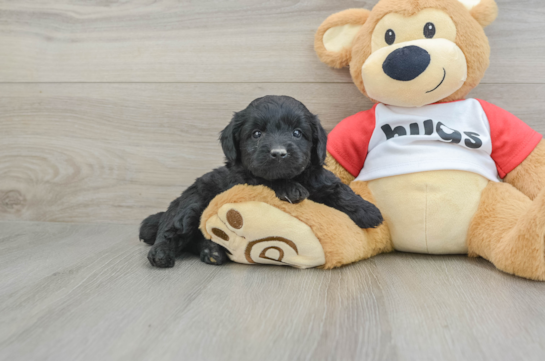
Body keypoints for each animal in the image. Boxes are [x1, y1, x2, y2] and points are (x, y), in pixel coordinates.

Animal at [138, 95, 380, 268]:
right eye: (256, 134)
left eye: (297, 133)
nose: (279, 153)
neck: (295, 176)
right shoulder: (243, 179)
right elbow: (263, 179)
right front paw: (289, 189)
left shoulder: (318, 177)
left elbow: (338, 189)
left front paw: (368, 210)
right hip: (192, 203)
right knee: (173, 230)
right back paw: (161, 253)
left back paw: (212, 251)